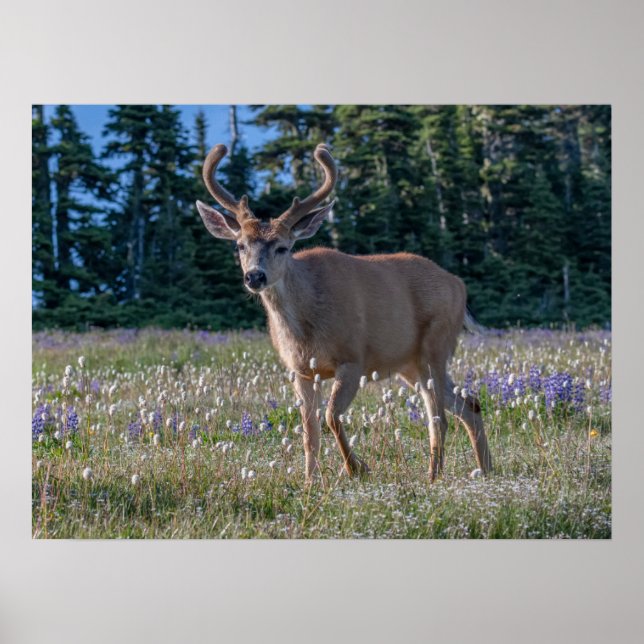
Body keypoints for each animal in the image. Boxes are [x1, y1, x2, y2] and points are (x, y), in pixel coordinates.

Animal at [196, 143, 492, 483]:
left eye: (283, 247)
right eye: (240, 245)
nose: (255, 276)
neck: (305, 325)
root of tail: (459, 285)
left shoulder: (352, 359)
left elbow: (331, 416)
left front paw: (356, 468)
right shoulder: (300, 370)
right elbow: (309, 431)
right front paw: (310, 481)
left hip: (435, 345)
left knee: (438, 417)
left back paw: (433, 476)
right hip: (410, 364)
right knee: (470, 403)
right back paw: (485, 468)